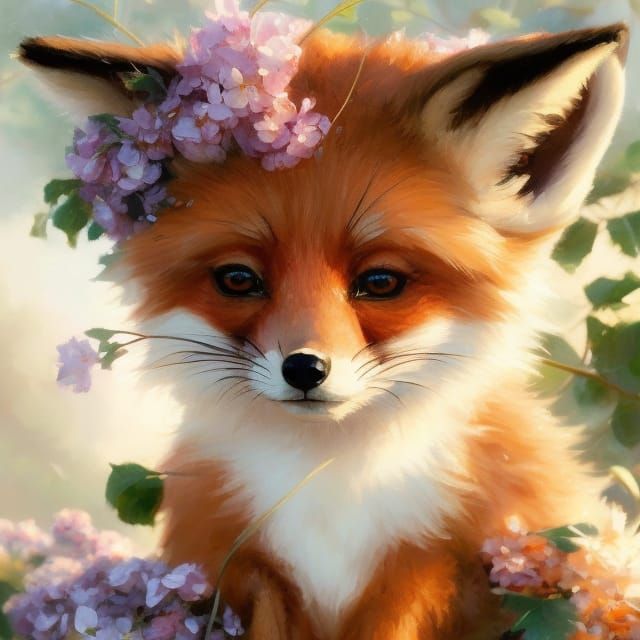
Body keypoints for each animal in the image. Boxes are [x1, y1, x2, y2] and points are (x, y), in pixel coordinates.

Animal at [19, 18, 629, 640]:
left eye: (380, 282)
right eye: (239, 279)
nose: (305, 368)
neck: (333, 486)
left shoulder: (424, 566)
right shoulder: (247, 565)